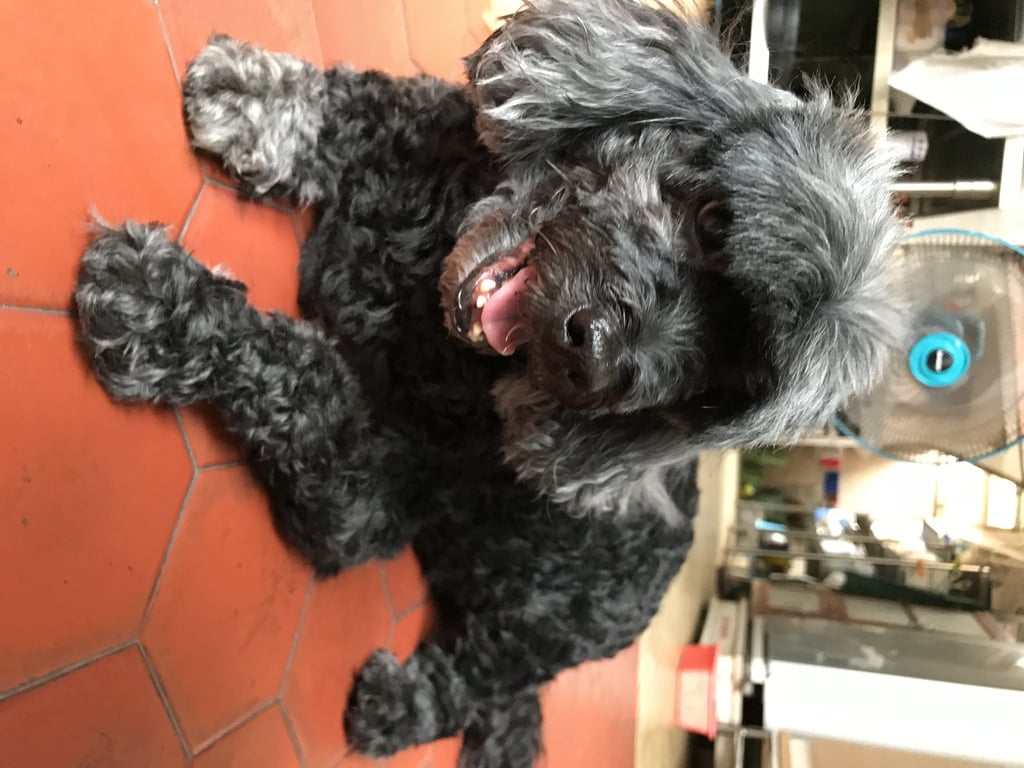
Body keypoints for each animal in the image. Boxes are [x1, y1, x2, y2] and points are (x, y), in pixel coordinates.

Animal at [73, 1, 904, 765]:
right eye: (711, 221)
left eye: (710, 392)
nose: (594, 359)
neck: (424, 293)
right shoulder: (413, 132)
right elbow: (334, 105)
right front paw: (244, 94)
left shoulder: (365, 506)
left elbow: (303, 375)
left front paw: (162, 304)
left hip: (529, 633)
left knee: (471, 684)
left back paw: (396, 706)